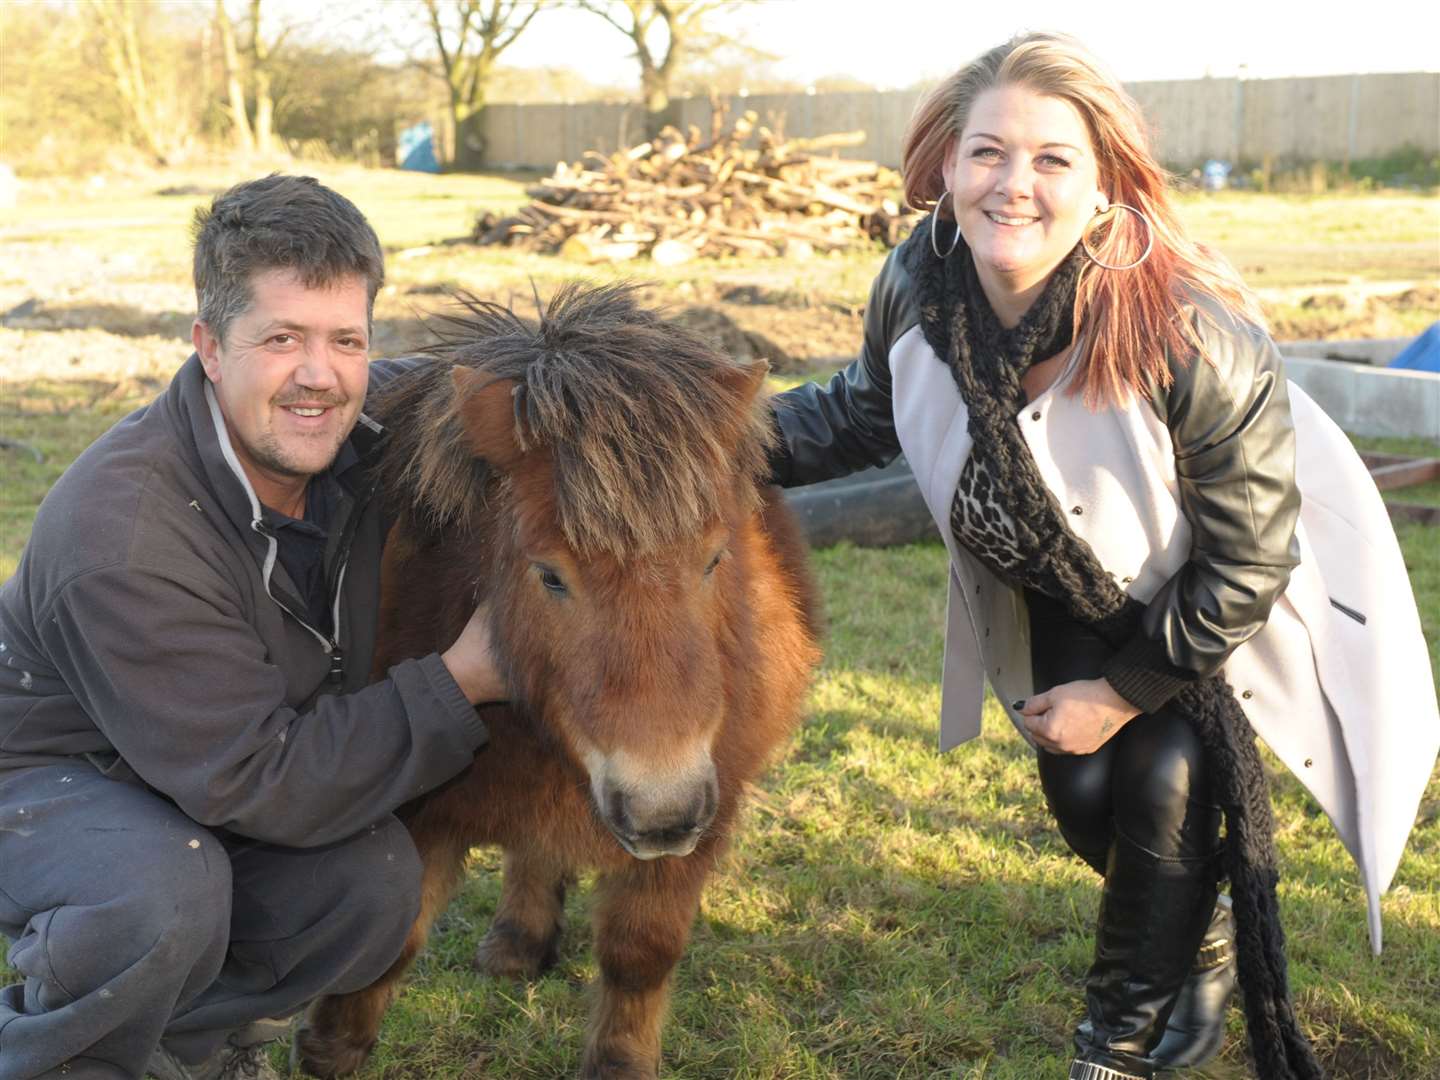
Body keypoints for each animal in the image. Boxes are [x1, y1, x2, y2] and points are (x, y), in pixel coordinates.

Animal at [292, 283, 823, 1077]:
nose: (661, 811)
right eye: (550, 575)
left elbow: (641, 951)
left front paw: (620, 1062)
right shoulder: (420, 802)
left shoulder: (710, 801)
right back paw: (518, 942)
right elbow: (394, 937)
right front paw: (333, 1044)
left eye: (714, 559)